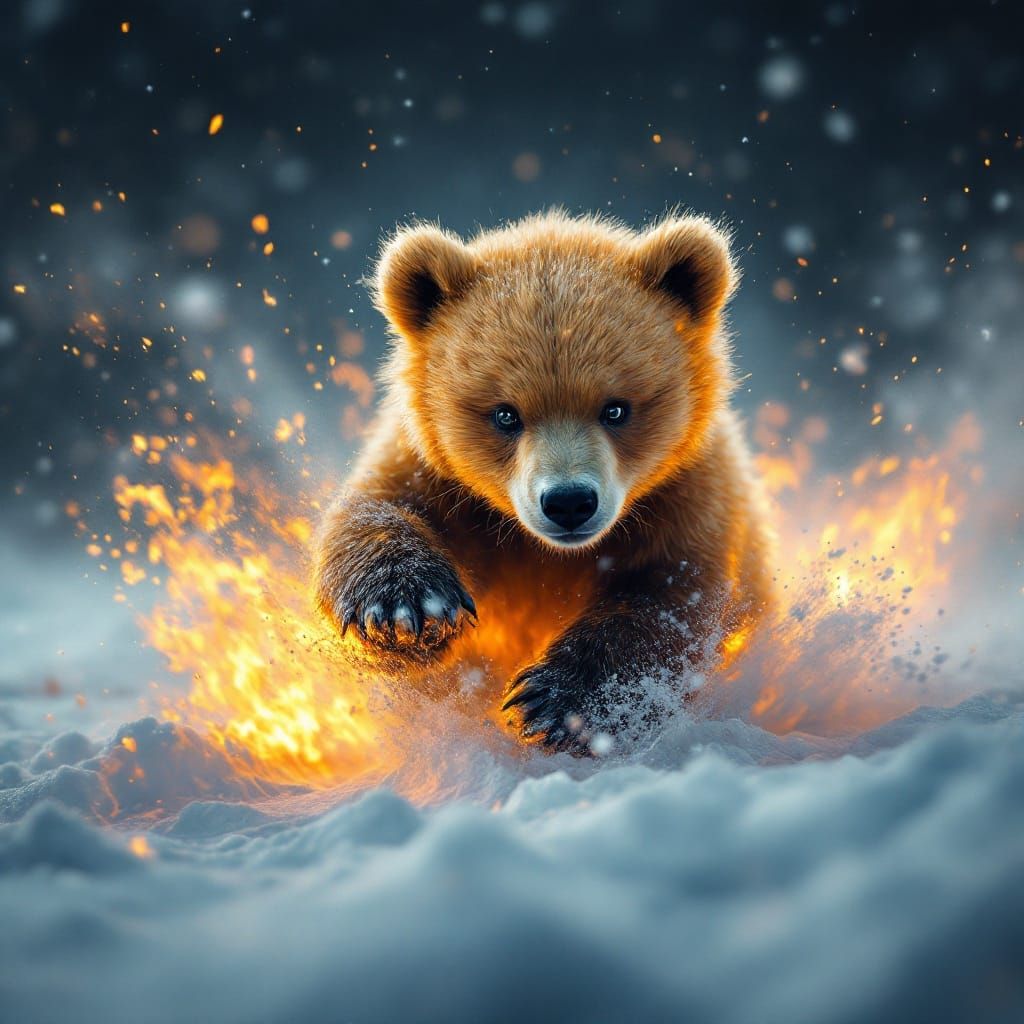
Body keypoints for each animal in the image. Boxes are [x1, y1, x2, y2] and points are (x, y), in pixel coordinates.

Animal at [315, 210, 774, 753]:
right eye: (505, 414)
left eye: (615, 408)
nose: (569, 502)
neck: (553, 554)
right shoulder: (441, 481)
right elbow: (374, 510)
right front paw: (406, 607)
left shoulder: (686, 498)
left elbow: (671, 602)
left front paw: (554, 700)